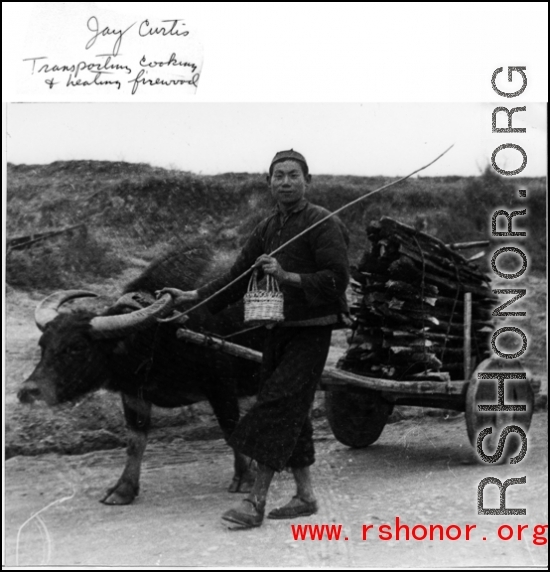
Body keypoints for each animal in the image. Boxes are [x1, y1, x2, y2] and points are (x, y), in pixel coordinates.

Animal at [18, 246, 264, 504]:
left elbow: (230, 428)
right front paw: (123, 489)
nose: (29, 391)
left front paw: (244, 478)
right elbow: (136, 441)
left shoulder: (221, 386)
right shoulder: (133, 393)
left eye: (77, 347)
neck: (161, 333)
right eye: (43, 344)